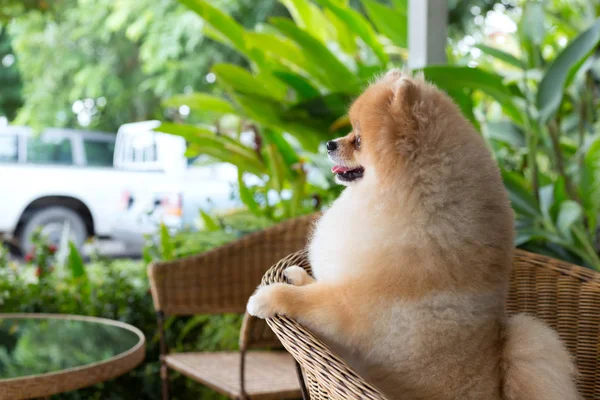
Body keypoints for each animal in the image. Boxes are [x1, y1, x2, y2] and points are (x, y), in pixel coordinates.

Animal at [246, 70, 580, 398]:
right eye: (349, 132)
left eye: (358, 140)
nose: (329, 143)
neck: (401, 198)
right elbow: (316, 284)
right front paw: (298, 276)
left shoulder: (352, 307)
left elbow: (308, 301)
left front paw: (266, 298)